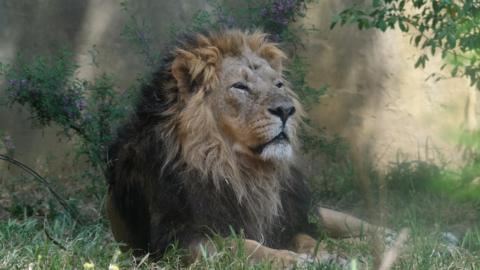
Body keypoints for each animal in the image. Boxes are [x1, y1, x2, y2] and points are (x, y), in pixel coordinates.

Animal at [106, 29, 390, 268]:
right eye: (240, 87)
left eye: (278, 84)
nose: (286, 110)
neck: (241, 172)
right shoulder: (176, 240)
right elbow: (242, 245)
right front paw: (295, 259)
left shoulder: (288, 223)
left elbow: (309, 239)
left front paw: (327, 253)